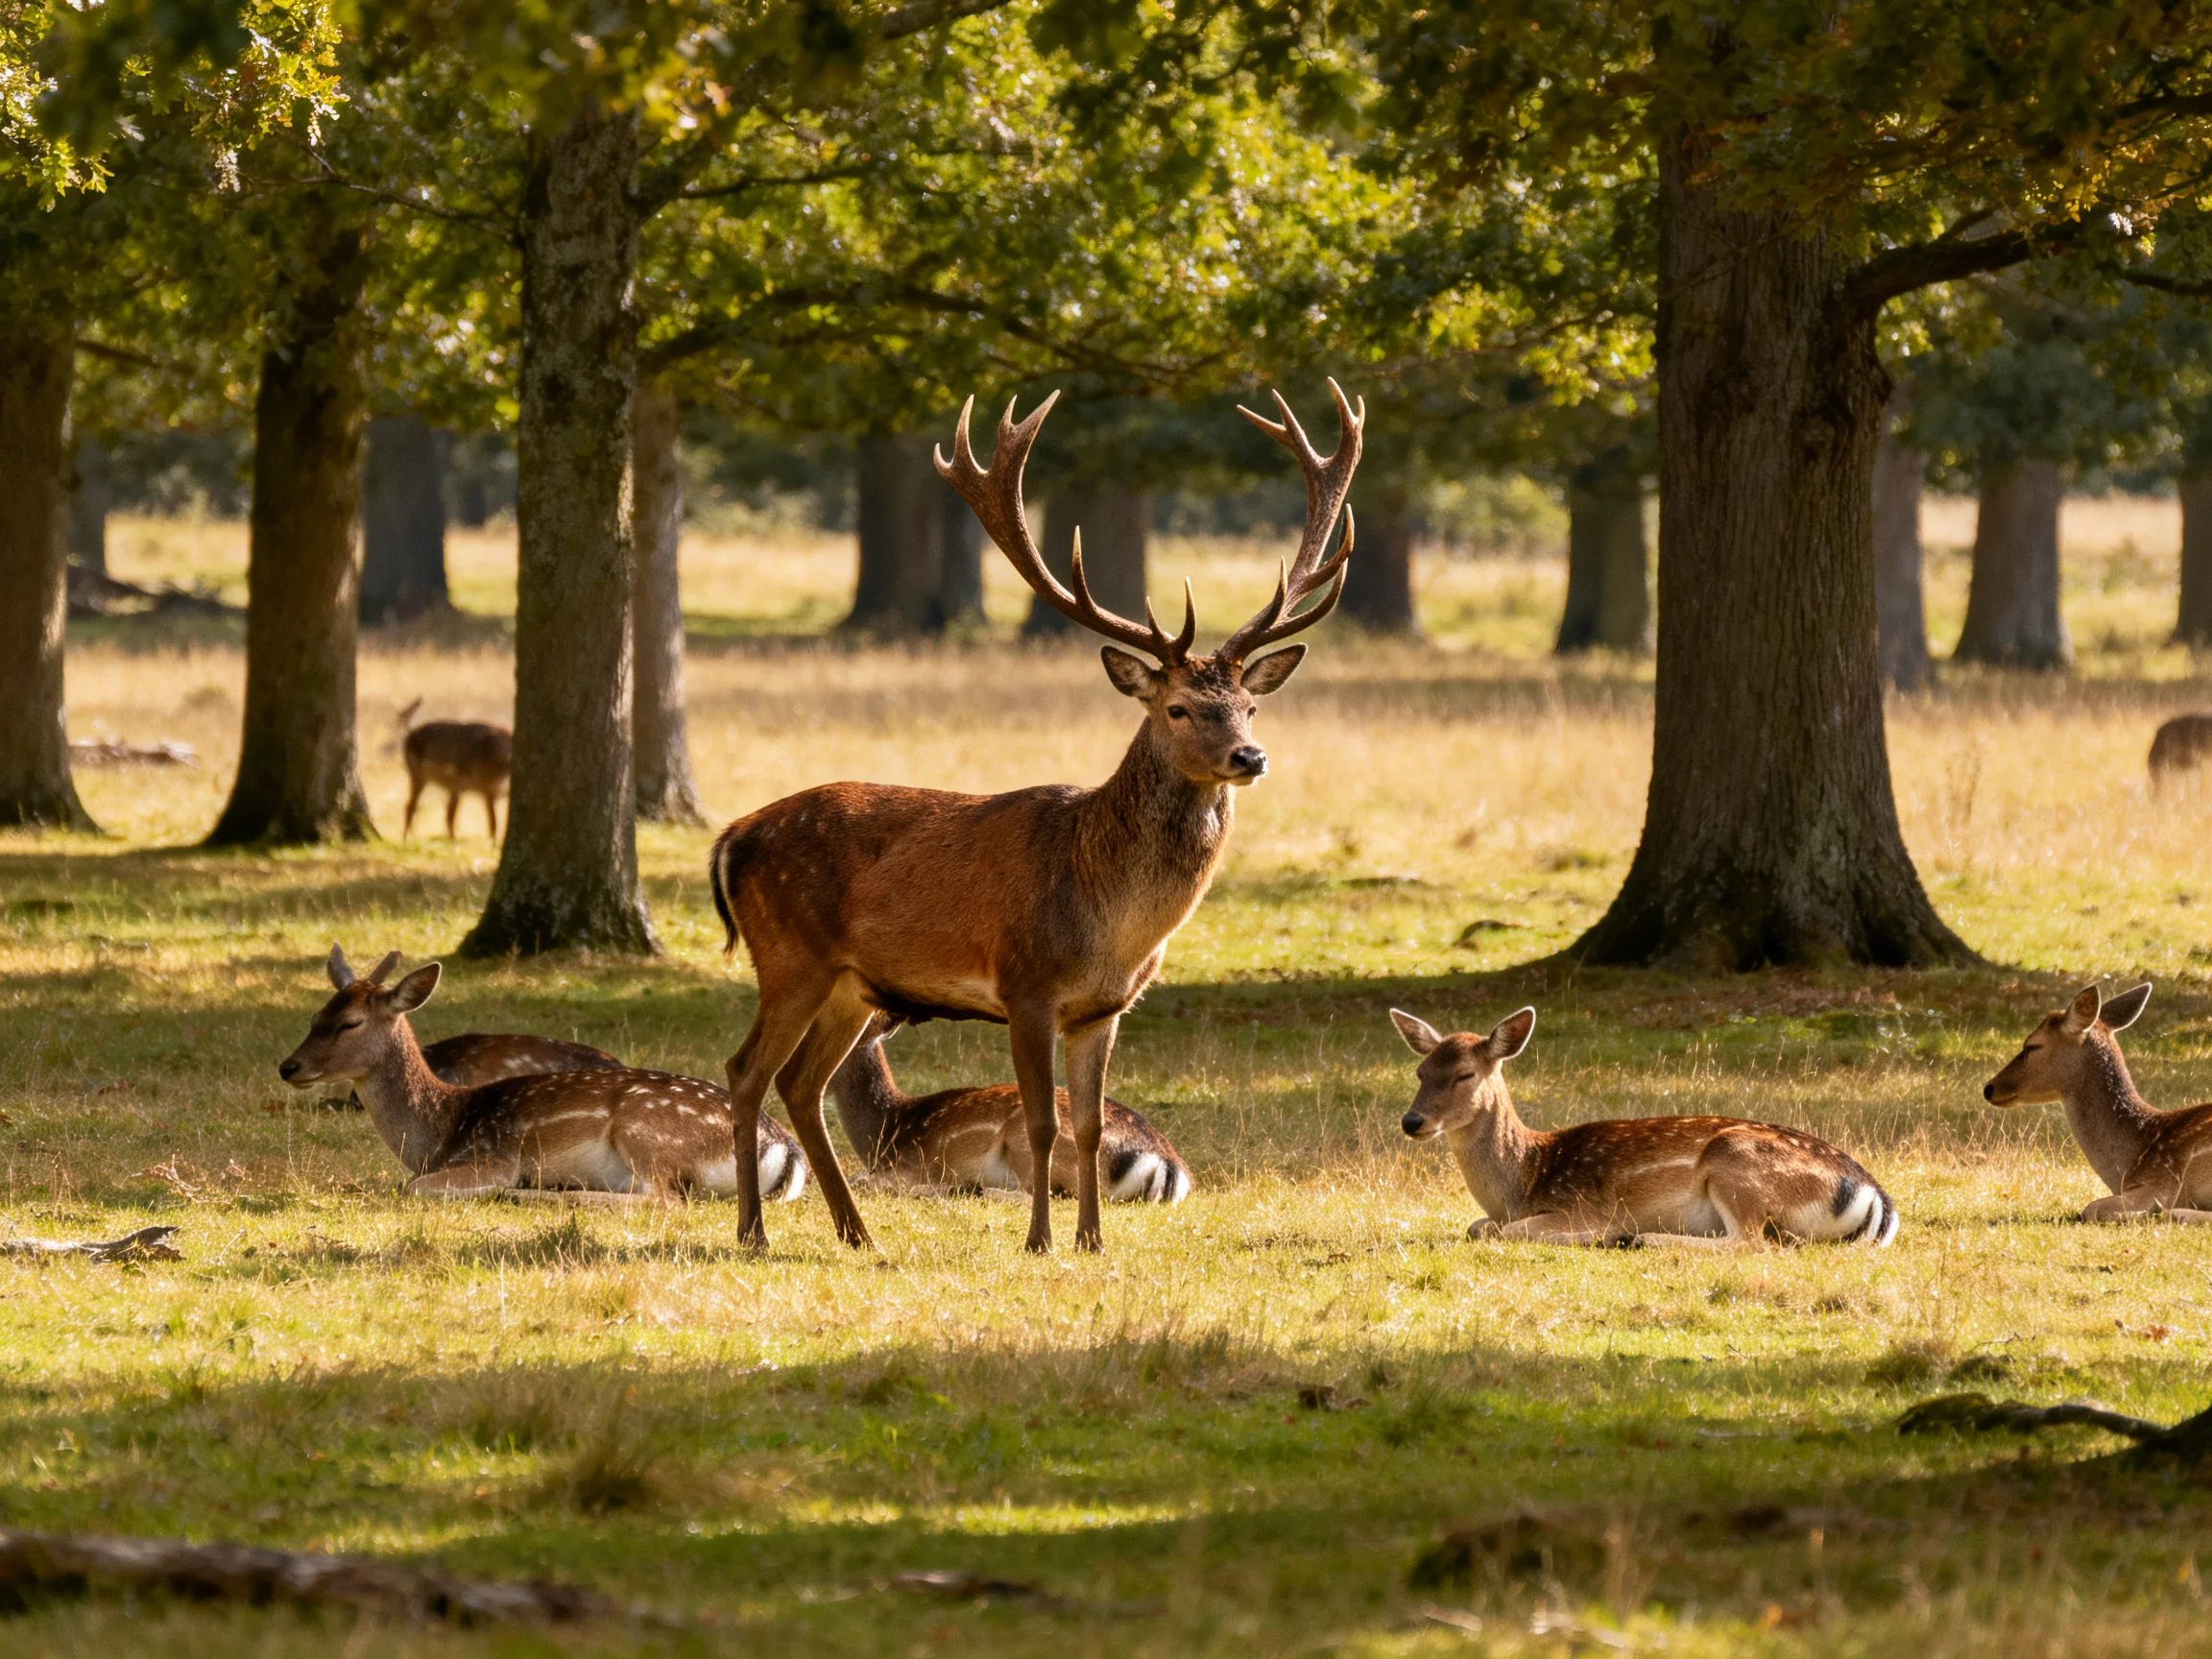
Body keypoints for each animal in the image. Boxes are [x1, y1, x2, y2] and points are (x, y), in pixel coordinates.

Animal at [279, 947, 807, 1203]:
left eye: (350, 1023)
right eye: (315, 1016)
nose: (289, 1066)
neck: (441, 1131)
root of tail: (785, 1149)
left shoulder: (494, 1154)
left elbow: (412, 1189)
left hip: (647, 1131)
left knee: (665, 1199)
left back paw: (541, 1193)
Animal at [397, 699, 512, 840]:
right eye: (501, 745)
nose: (508, 756)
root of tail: (410, 733)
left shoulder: (496, 791)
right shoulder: (487, 788)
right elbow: (493, 824)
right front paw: (493, 844)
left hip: (451, 786)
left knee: (447, 815)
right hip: (418, 775)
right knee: (410, 807)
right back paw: (407, 840)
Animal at [811, 1013, 1192, 1202]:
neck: (887, 1130)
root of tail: (1167, 1164)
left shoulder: (910, 1165)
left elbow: (862, 1181)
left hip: (1027, 1140)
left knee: (1048, 1195)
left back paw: (967, 1189)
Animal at [1392, 1007, 1899, 1247]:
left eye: (1465, 1075)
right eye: (1419, 1072)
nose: (1412, 1121)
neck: (1525, 1184)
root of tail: (1876, 1197)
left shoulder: (1582, 1206)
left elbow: (1499, 1232)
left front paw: (1604, 1236)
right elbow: (1476, 1226)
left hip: (1736, 1161)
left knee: (1755, 1244)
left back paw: (1641, 1238)